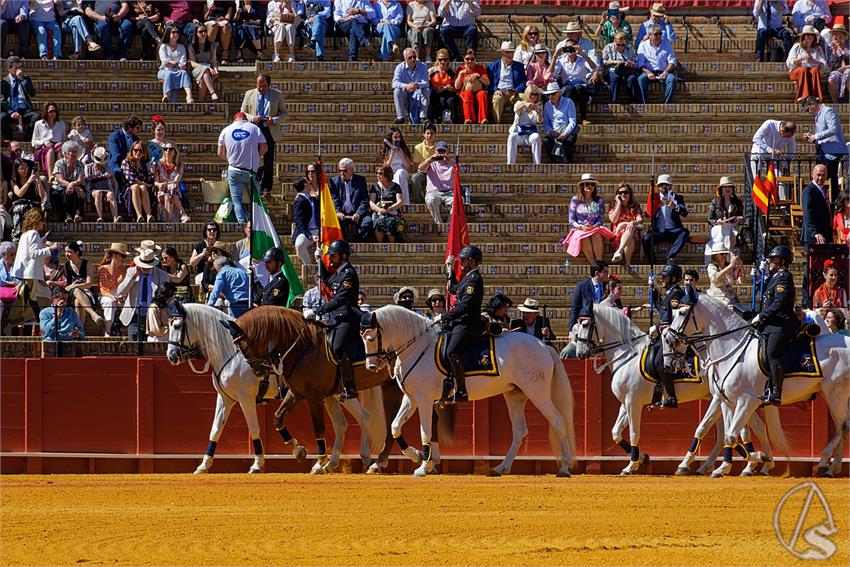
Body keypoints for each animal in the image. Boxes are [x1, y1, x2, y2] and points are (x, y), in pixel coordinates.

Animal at [164, 304, 382, 478]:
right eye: (168, 326)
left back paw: (364, 459)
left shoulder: (245, 398)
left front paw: (257, 465)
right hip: (331, 396)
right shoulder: (225, 398)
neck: (230, 352)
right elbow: (216, 429)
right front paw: (203, 465)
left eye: (177, 326)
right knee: (342, 423)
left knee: (363, 417)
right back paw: (335, 463)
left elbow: (254, 429)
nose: (171, 356)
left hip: (338, 394)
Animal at [358, 306, 576, 480]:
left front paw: (422, 467)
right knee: (520, 431)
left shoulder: (424, 399)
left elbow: (425, 431)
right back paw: (500, 468)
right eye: (361, 337)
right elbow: (395, 426)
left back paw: (564, 468)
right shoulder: (411, 398)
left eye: (371, 337)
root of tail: (543, 345)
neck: (417, 346)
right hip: (515, 395)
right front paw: (416, 456)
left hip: (538, 392)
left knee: (558, 420)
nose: (371, 366)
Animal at [572, 304, 772, 478]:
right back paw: (745, 463)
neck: (627, 354)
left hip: (724, 398)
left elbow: (633, 433)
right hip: (725, 398)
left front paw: (630, 466)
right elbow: (615, 433)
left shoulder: (632, 402)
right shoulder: (625, 403)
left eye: (585, 325)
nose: (580, 353)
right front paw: (643, 458)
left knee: (733, 430)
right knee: (741, 429)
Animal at [664, 296, 848, 478]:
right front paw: (726, 467)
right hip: (833, 395)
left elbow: (731, 435)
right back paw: (832, 467)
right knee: (844, 426)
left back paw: (823, 462)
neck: (732, 350)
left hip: (835, 394)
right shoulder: (727, 400)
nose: (668, 338)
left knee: (842, 427)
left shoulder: (746, 401)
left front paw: (759, 458)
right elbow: (729, 434)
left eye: (682, 312)